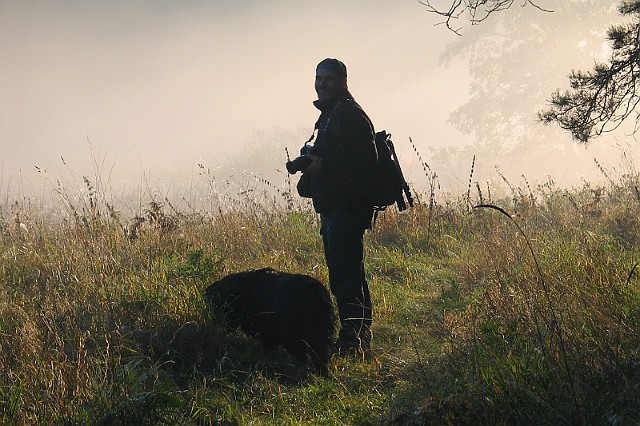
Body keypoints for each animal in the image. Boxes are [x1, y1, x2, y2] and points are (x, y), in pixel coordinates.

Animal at [205, 270, 336, 376]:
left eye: (217, 304)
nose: (215, 322)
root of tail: (318, 294)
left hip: (297, 336)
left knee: (305, 355)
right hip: (321, 335)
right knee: (320, 355)